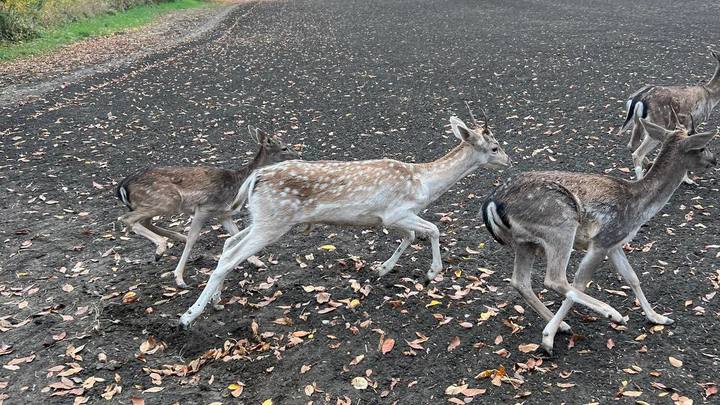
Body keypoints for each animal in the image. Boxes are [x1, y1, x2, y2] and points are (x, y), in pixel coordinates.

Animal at [116, 126, 296, 288]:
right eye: (284, 147)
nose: (298, 155)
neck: (236, 186)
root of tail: (122, 187)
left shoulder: (223, 214)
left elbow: (235, 234)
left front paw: (257, 262)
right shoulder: (204, 208)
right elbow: (192, 239)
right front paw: (179, 278)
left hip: (158, 204)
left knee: (144, 221)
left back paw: (173, 240)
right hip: (166, 200)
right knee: (126, 218)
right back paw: (161, 248)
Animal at [179, 108, 512, 328]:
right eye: (495, 147)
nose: (509, 160)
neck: (424, 185)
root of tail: (256, 177)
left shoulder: (396, 218)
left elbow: (410, 236)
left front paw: (382, 268)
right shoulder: (395, 212)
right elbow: (432, 230)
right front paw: (432, 273)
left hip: (262, 218)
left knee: (229, 244)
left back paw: (215, 300)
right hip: (274, 220)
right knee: (230, 255)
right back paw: (188, 316)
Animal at [484, 115, 716, 352]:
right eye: (702, 147)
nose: (714, 160)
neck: (639, 207)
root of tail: (492, 203)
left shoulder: (615, 242)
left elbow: (632, 277)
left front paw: (658, 317)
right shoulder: (602, 240)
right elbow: (580, 281)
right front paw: (547, 337)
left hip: (525, 242)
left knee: (520, 281)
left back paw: (563, 325)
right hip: (560, 226)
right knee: (555, 279)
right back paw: (609, 313)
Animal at [620, 49, 720, 183]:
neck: (711, 96)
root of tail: (637, 99)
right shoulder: (693, 120)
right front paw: (687, 179)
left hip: (638, 123)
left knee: (632, 144)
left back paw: (649, 164)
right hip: (658, 122)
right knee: (638, 153)